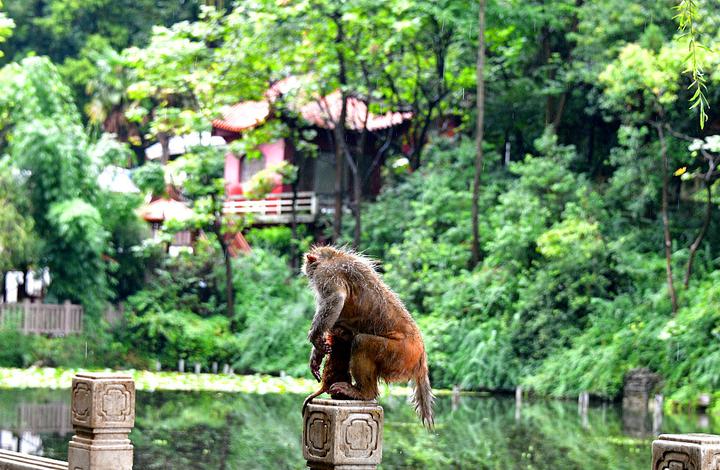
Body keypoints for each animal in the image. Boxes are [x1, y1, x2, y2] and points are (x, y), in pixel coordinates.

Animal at [300, 246, 434, 430]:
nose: (306, 272)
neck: (331, 257)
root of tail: (421, 357)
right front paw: (317, 354)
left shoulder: (326, 273)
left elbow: (335, 299)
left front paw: (315, 337)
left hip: (401, 355)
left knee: (362, 342)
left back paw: (363, 393)